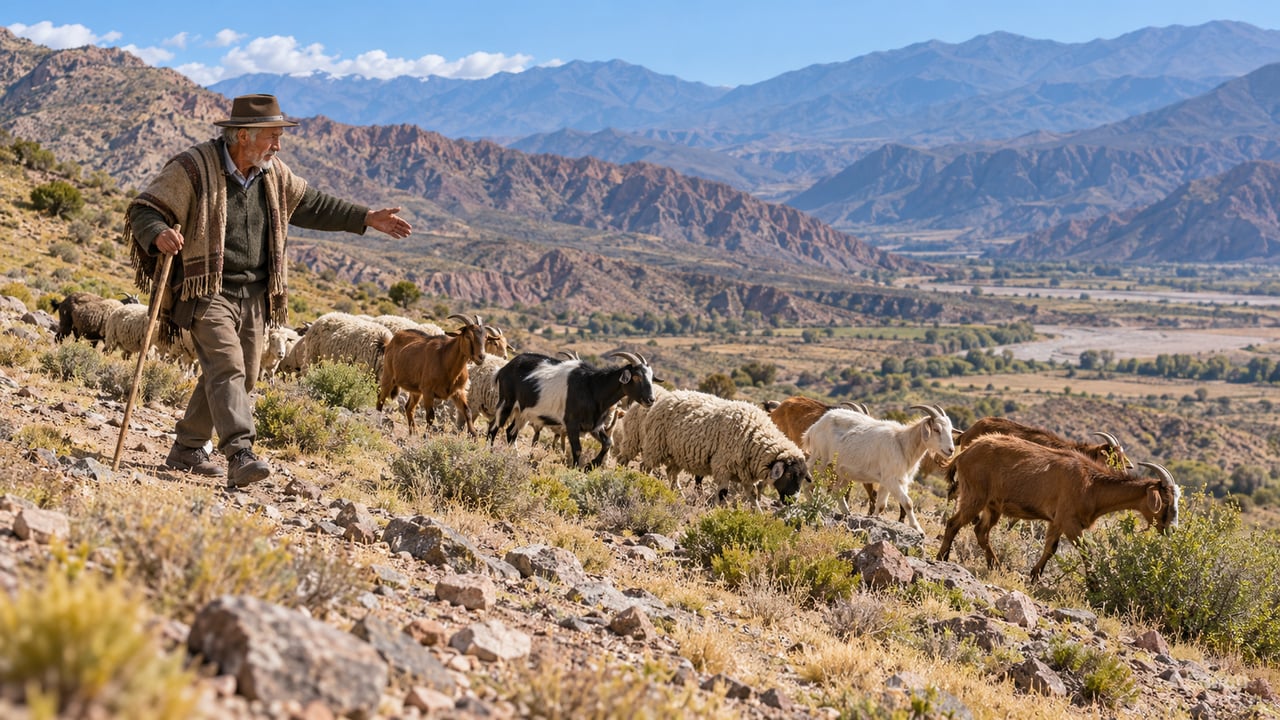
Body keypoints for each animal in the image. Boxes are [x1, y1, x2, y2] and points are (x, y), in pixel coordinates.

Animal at [490, 350, 657, 469]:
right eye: (636, 377)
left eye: (651, 377)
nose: (651, 400)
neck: (592, 388)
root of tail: (504, 369)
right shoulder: (572, 424)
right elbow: (577, 449)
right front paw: (576, 470)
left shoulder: (593, 425)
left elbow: (608, 443)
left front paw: (591, 465)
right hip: (507, 402)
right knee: (493, 428)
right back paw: (489, 454)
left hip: (522, 413)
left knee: (510, 432)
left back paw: (514, 457)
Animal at [802, 405, 954, 532]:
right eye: (936, 429)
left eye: (950, 430)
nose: (951, 450)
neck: (902, 443)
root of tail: (814, 428)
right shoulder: (891, 479)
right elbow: (908, 502)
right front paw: (918, 529)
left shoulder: (890, 481)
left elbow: (881, 505)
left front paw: (874, 519)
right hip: (820, 460)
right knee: (807, 483)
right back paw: (815, 509)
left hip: (841, 471)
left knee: (836, 491)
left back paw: (846, 512)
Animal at [937, 433, 1180, 580]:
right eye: (1166, 500)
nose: (1172, 529)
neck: (1091, 485)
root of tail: (963, 454)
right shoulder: (1069, 522)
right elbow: (1086, 551)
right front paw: (1094, 586)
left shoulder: (1056, 521)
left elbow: (1050, 548)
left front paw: (1034, 575)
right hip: (975, 496)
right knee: (953, 523)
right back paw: (942, 558)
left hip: (992, 506)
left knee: (981, 531)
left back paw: (995, 566)